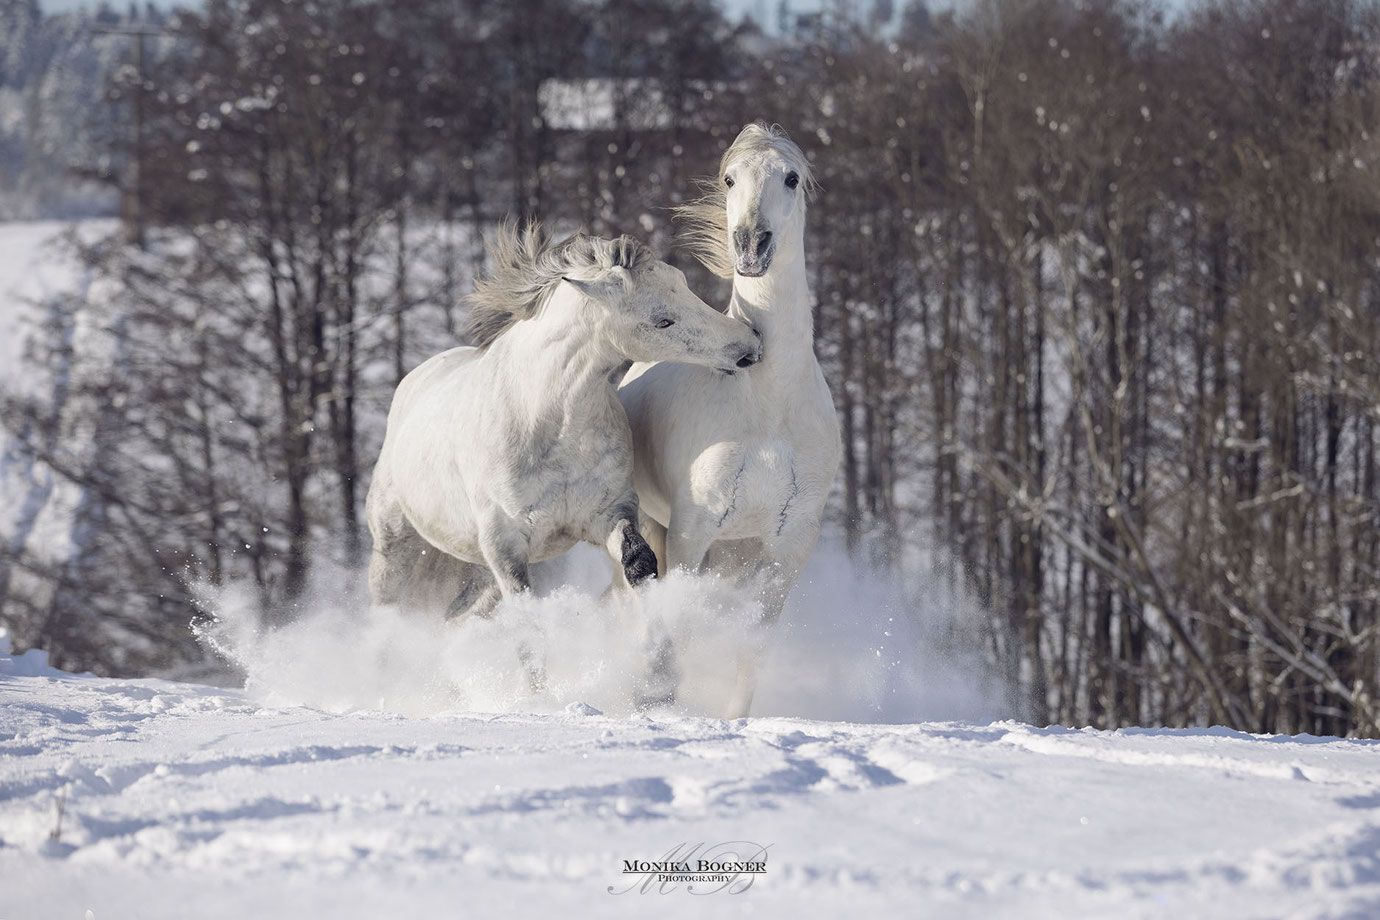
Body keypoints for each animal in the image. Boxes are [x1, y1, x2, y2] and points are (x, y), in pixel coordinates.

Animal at [365, 222, 763, 631]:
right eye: (662, 320)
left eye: (683, 283)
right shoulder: (504, 544)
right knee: (387, 603)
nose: (748, 345)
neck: (548, 425)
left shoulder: (610, 513)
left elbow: (639, 564)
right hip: (394, 541)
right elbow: (527, 619)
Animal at [619, 123, 842, 718]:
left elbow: (751, 649)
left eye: (791, 178)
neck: (768, 404)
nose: (750, 247)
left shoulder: (789, 547)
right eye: (729, 178)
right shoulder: (692, 530)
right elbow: (675, 630)